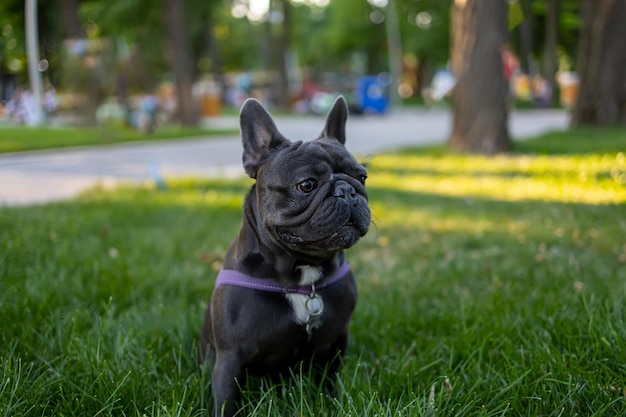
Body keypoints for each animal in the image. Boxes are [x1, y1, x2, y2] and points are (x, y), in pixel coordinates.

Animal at [199, 96, 370, 414]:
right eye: (306, 184)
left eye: (362, 177)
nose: (347, 191)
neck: (303, 273)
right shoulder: (230, 357)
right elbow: (226, 399)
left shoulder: (337, 342)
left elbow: (331, 379)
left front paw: (334, 401)